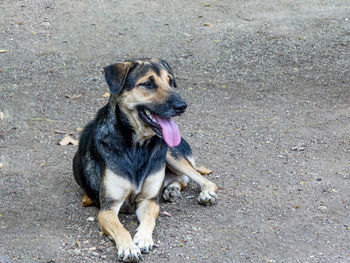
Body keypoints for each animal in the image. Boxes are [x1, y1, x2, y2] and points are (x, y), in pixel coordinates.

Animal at [72, 57, 217, 262]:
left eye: (171, 81)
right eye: (148, 84)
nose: (182, 106)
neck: (137, 147)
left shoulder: (148, 200)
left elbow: (149, 218)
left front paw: (142, 238)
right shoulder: (107, 208)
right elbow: (121, 229)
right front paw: (128, 247)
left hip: (168, 153)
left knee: (200, 178)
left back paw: (203, 193)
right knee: (181, 179)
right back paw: (172, 189)